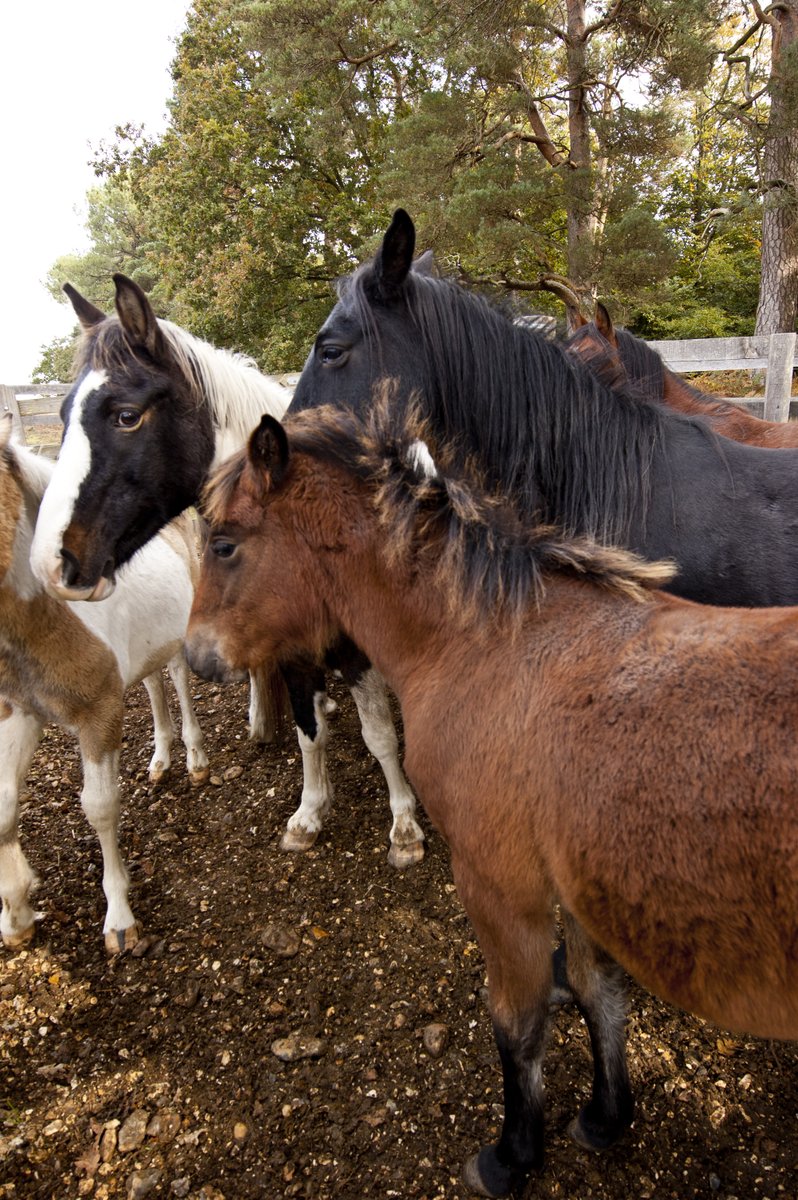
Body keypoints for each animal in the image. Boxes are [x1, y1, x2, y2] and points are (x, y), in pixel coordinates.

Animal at [0, 414, 210, 953]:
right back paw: (160, 760)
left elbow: (99, 807)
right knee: (155, 683)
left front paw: (119, 919)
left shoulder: (98, 713)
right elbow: (5, 808)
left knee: (178, 681)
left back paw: (195, 760)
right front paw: (17, 917)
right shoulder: (20, 712)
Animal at [28, 277, 424, 869]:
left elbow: (380, 736)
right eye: (63, 414)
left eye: (126, 415)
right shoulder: (293, 651)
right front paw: (309, 813)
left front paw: (404, 826)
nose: (52, 562)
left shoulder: (356, 649)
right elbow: (310, 732)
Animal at [185, 396, 798, 1197]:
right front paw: (605, 1117)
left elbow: (519, 1022)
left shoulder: (499, 886)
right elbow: (599, 993)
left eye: (225, 544)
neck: (492, 644)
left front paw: (512, 1154)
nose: (195, 655)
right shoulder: (580, 887)